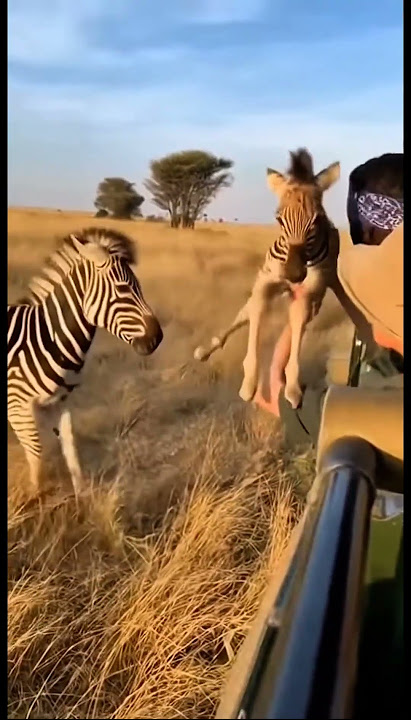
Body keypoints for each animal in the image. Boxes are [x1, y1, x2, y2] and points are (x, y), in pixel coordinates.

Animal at [8, 227, 163, 496]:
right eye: (123, 289)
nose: (157, 338)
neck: (47, 338)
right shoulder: (18, 405)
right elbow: (36, 458)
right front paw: (35, 499)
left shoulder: (61, 401)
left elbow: (71, 449)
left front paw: (82, 497)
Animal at [193, 148, 378, 409]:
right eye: (279, 218)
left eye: (316, 220)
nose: (293, 274)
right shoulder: (264, 283)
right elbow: (256, 316)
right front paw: (249, 384)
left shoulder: (307, 294)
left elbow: (297, 327)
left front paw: (291, 388)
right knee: (243, 314)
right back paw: (205, 350)